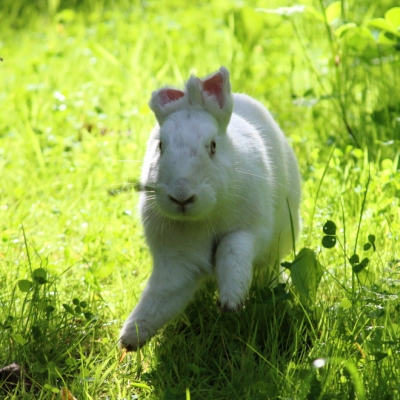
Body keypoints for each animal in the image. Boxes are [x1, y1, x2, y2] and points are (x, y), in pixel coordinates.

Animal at [120, 65, 302, 350]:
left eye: (213, 146)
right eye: (160, 146)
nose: (181, 197)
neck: (204, 217)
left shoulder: (250, 231)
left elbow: (232, 251)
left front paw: (231, 302)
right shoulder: (178, 260)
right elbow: (161, 296)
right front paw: (131, 337)